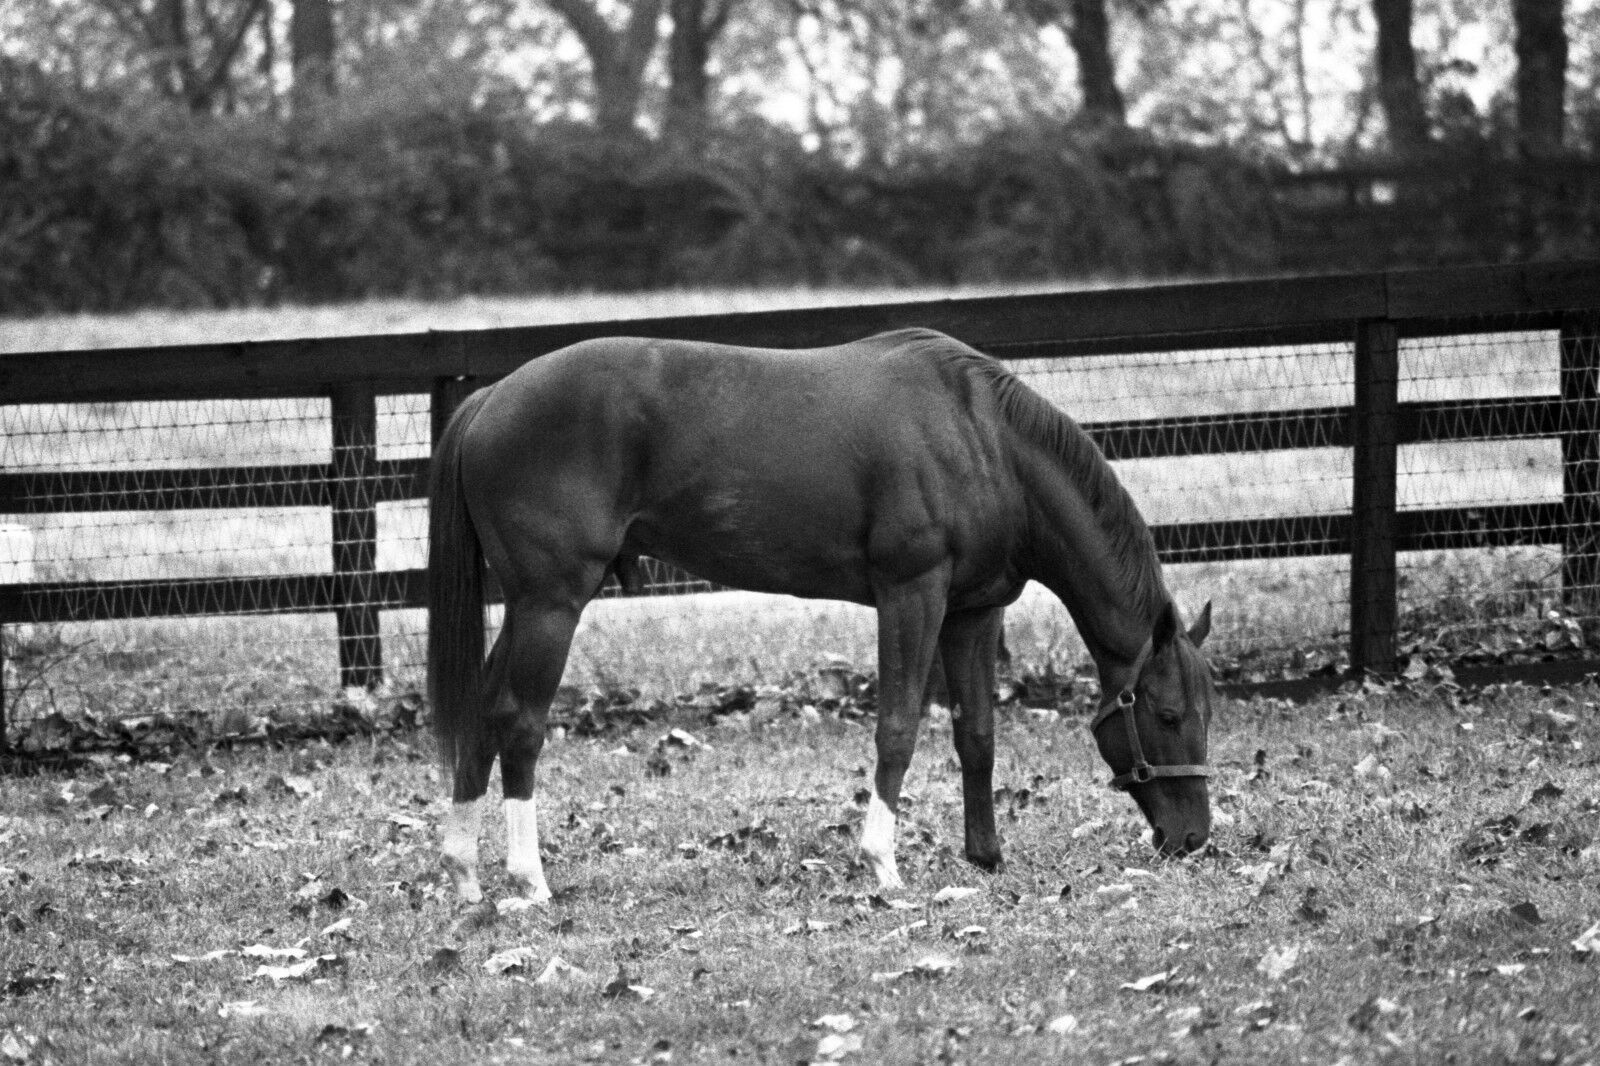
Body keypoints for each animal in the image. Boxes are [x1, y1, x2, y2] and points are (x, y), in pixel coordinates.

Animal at [432, 328, 1216, 902]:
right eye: (1169, 715)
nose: (1194, 840)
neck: (982, 438)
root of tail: (493, 398)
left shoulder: (972, 612)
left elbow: (977, 736)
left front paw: (986, 856)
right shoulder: (912, 594)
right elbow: (897, 729)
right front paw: (882, 864)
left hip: (529, 606)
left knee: (484, 712)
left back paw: (466, 875)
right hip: (551, 603)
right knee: (521, 724)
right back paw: (530, 881)